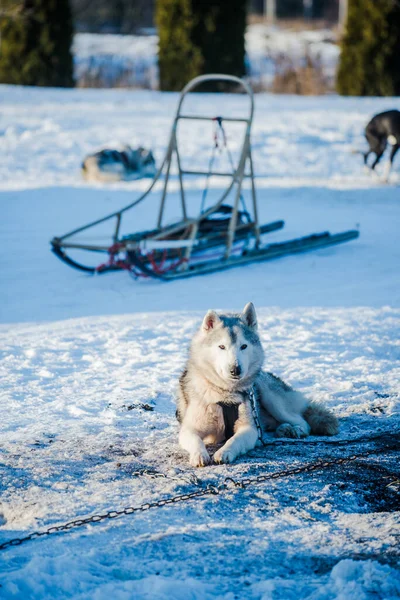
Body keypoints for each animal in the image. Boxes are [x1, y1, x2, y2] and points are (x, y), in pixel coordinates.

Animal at [177, 304, 340, 468]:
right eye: (221, 346)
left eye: (243, 346)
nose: (235, 369)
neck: (226, 393)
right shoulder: (189, 429)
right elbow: (195, 440)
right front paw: (199, 454)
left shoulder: (250, 428)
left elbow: (234, 440)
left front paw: (224, 452)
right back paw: (283, 428)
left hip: (271, 399)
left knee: (303, 422)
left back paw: (295, 430)